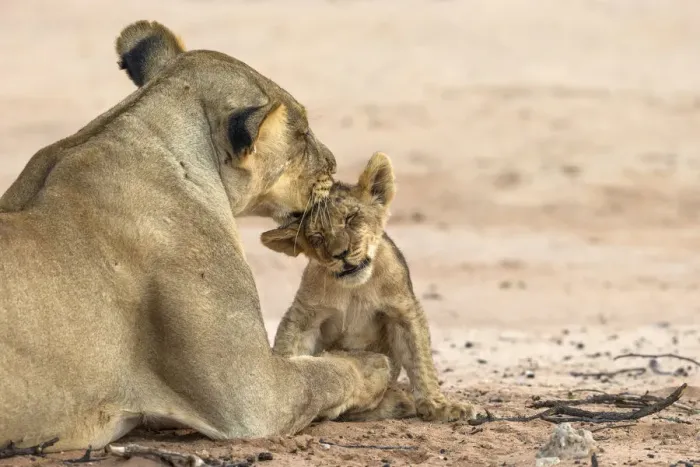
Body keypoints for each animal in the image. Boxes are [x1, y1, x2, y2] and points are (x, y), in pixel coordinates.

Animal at [260, 152, 475, 422]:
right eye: (316, 237)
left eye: (350, 218)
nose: (340, 254)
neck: (356, 288)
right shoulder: (304, 314)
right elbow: (289, 347)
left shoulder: (404, 309)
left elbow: (420, 359)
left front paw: (439, 406)